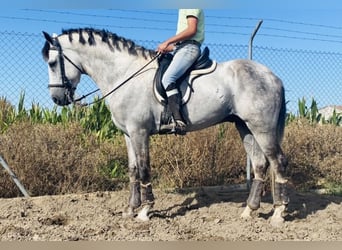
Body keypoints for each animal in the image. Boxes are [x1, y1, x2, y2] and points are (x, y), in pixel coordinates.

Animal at [41, 28, 290, 227]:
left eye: (52, 63)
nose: (57, 99)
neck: (124, 74)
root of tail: (272, 76)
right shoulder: (128, 134)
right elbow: (132, 170)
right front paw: (130, 209)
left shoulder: (139, 132)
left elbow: (144, 169)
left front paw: (144, 211)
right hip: (244, 126)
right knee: (259, 164)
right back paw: (249, 211)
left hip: (261, 127)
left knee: (277, 161)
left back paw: (278, 213)